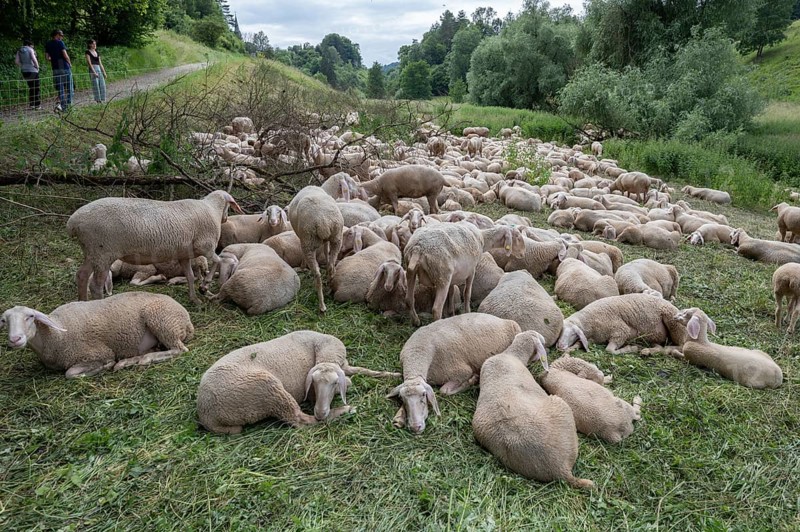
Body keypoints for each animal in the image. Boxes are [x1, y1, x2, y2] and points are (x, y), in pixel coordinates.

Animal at [1, 293, 193, 378]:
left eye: (30, 316)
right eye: (4, 320)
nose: (15, 339)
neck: (56, 335)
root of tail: (187, 320)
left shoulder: (96, 352)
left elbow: (70, 373)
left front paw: (103, 366)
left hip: (161, 320)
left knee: (179, 349)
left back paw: (143, 360)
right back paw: (129, 361)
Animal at [67, 190, 243, 303]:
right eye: (229, 206)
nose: (225, 219)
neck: (212, 209)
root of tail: (73, 222)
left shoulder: (184, 254)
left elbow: (189, 276)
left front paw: (194, 299)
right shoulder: (205, 247)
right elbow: (218, 261)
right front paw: (204, 286)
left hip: (92, 252)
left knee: (81, 275)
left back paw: (81, 303)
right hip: (103, 252)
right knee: (95, 286)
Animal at [197, 331, 400, 433]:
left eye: (335, 383)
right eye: (313, 384)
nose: (320, 412)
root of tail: (207, 414)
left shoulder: (344, 365)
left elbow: (363, 370)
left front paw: (393, 374)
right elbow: (351, 379)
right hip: (268, 389)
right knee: (300, 420)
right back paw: (346, 410)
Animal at [387, 313, 522, 433]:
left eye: (424, 395)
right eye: (402, 398)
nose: (416, 427)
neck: (420, 350)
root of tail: (502, 320)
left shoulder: (462, 371)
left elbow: (444, 391)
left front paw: (472, 380)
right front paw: (399, 417)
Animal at [557, 293, 686, 355]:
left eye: (573, 334)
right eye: (560, 332)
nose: (560, 346)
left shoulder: (621, 331)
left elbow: (609, 350)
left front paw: (631, 348)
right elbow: (579, 344)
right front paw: (570, 349)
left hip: (674, 323)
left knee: (681, 345)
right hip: (655, 336)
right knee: (659, 346)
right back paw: (647, 351)